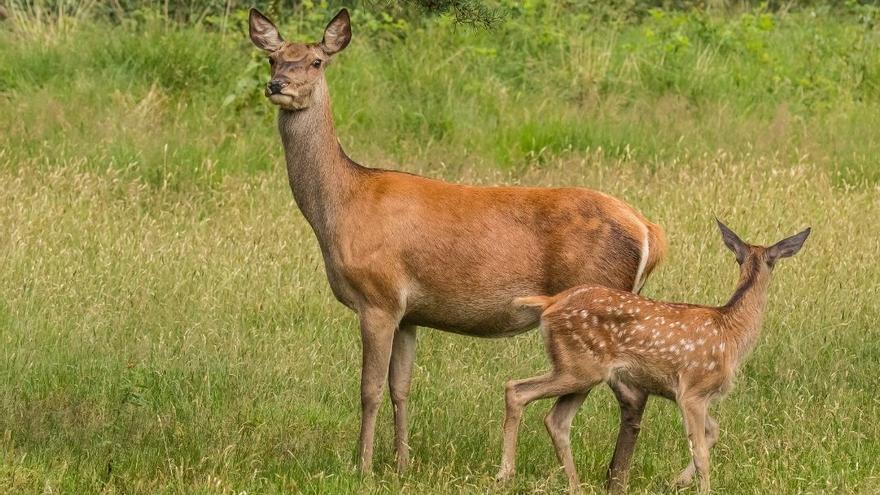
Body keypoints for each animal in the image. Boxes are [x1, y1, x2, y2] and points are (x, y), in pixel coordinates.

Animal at [248, 6, 668, 476]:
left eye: (317, 61)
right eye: (273, 58)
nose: (278, 85)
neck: (343, 205)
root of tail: (649, 230)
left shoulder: (378, 297)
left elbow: (368, 389)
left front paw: (363, 466)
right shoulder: (409, 313)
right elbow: (401, 387)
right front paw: (402, 463)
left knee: (632, 395)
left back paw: (614, 476)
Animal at [498, 222, 808, 495]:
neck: (731, 333)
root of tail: (550, 303)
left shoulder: (692, 395)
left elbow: (714, 432)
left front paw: (677, 481)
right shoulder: (692, 391)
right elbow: (702, 452)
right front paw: (702, 488)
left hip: (581, 370)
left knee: (556, 419)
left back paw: (575, 486)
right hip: (579, 368)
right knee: (516, 389)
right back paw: (506, 474)